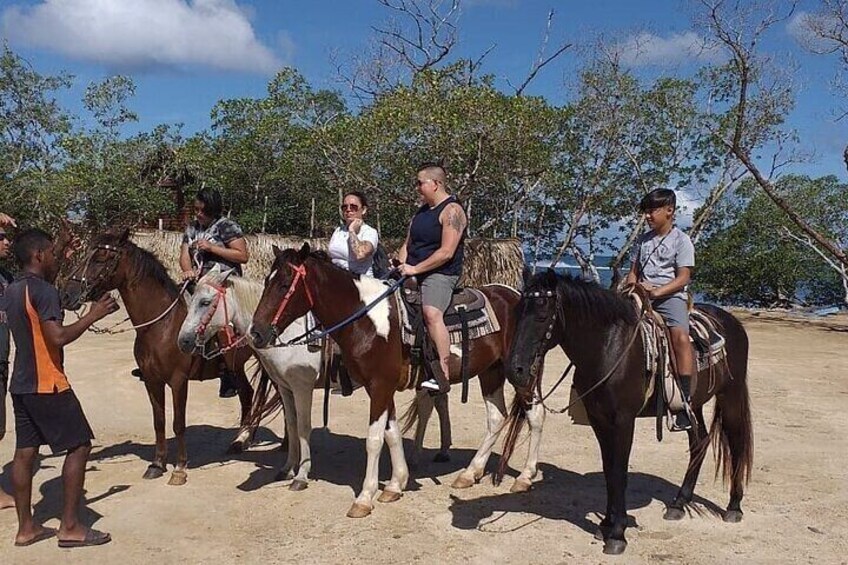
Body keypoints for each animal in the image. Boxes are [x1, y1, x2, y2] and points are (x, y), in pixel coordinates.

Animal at [60, 229, 262, 484]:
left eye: (101, 257)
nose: (67, 295)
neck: (161, 325)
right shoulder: (152, 380)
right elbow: (159, 422)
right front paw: (157, 464)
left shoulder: (178, 381)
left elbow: (178, 423)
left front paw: (179, 469)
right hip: (236, 368)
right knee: (247, 394)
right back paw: (241, 440)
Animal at [177, 266, 322, 490]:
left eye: (205, 302)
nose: (183, 341)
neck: (288, 333)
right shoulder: (286, 387)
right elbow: (292, 425)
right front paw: (287, 469)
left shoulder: (302, 387)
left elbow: (304, 427)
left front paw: (301, 476)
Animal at [248, 245, 548, 516]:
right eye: (266, 282)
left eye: (284, 284)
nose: (256, 333)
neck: (366, 319)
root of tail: (515, 295)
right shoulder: (380, 388)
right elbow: (391, 434)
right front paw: (395, 484)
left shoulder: (379, 386)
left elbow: (374, 439)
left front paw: (364, 497)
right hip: (491, 372)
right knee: (497, 418)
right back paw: (470, 473)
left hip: (519, 373)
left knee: (536, 415)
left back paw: (525, 476)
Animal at [500, 270, 752, 556]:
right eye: (517, 312)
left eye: (542, 314)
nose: (515, 370)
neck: (608, 348)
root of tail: (732, 323)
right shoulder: (599, 421)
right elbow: (609, 470)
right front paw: (606, 525)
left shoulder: (623, 421)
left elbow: (619, 472)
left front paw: (618, 533)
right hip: (692, 406)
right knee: (699, 441)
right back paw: (678, 503)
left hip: (731, 395)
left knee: (737, 443)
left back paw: (733, 507)